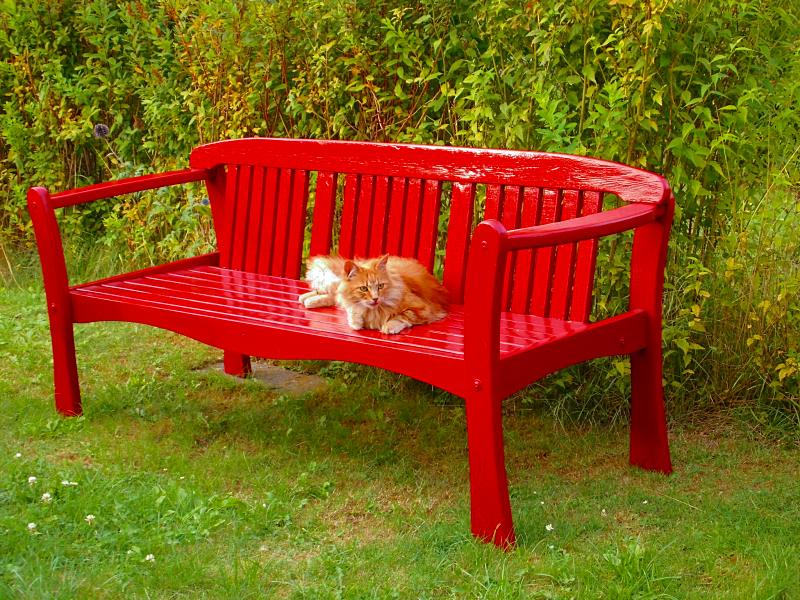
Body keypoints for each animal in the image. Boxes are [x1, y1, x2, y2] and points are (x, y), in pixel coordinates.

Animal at [298, 253, 450, 336]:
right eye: (364, 288)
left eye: (380, 286)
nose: (376, 298)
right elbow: (352, 310)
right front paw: (356, 321)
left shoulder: (422, 309)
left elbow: (402, 316)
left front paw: (389, 326)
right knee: (335, 293)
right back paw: (306, 298)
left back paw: (307, 300)